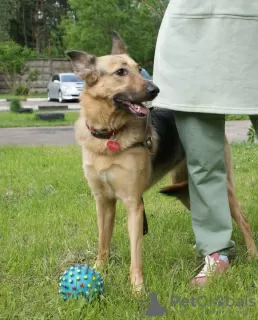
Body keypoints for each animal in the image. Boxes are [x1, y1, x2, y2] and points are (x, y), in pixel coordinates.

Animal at [67, 31, 258, 292]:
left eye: (139, 69)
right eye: (121, 72)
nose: (155, 89)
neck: (110, 135)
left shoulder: (134, 205)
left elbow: (135, 254)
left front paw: (137, 289)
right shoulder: (103, 202)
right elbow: (103, 243)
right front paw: (97, 271)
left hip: (223, 189)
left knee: (244, 221)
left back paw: (252, 255)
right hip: (187, 192)